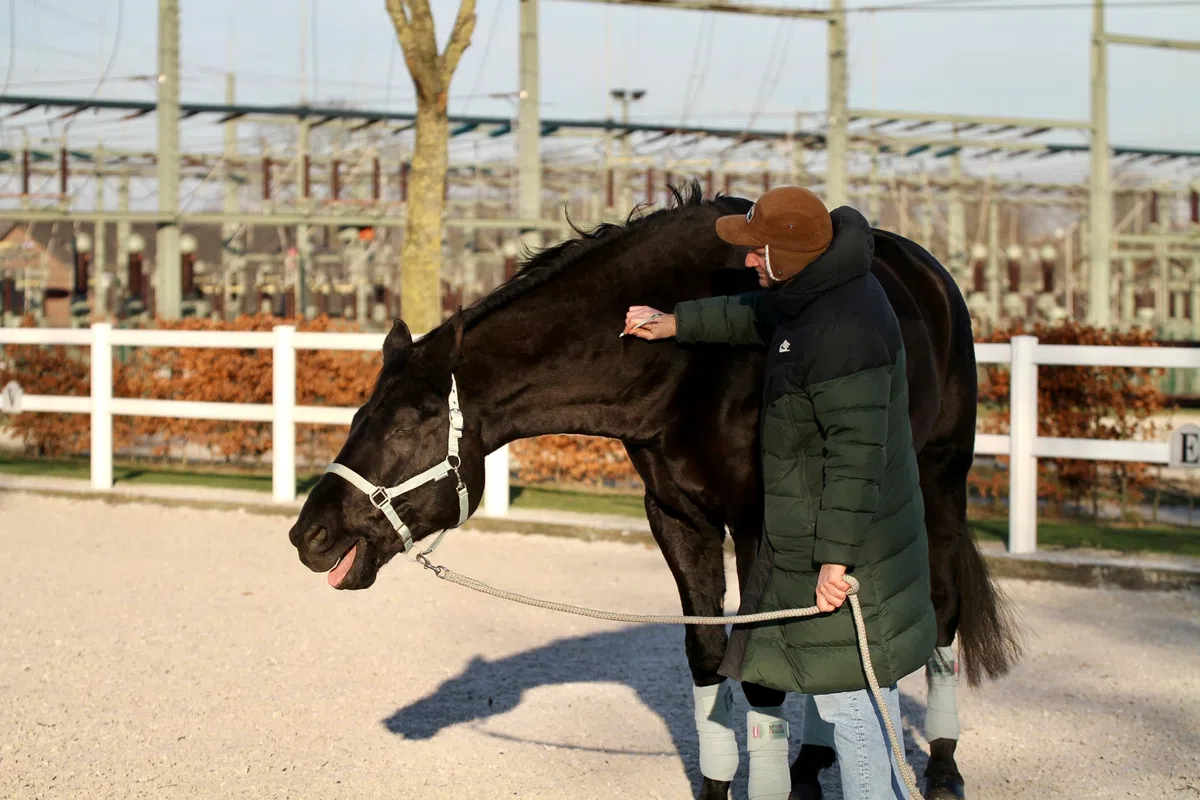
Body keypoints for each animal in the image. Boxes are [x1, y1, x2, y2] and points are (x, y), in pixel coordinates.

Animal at [288, 182, 1023, 800]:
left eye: (408, 424)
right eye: (357, 415)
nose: (310, 533)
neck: (693, 370)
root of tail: (931, 274)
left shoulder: (761, 525)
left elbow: (760, 677)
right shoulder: (676, 516)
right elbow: (708, 659)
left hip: (939, 481)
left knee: (943, 608)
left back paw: (943, 768)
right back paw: (814, 763)